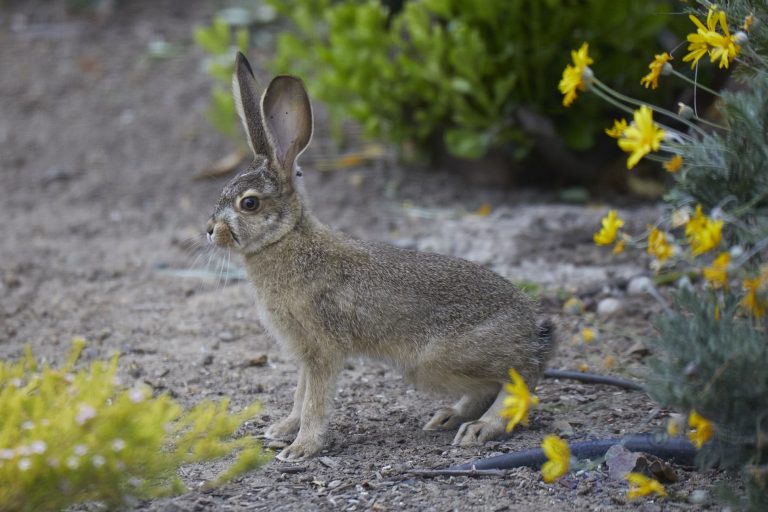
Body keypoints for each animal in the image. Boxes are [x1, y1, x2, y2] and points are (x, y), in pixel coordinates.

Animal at [206, 52, 558, 461]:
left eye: (249, 204)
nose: (210, 230)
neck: (286, 239)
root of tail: (531, 330)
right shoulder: (306, 354)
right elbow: (300, 393)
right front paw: (282, 429)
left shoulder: (324, 347)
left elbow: (315, 400)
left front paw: (301, 447)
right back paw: (449, 417)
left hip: (437, 361)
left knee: (522, 374)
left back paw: (483, 427)